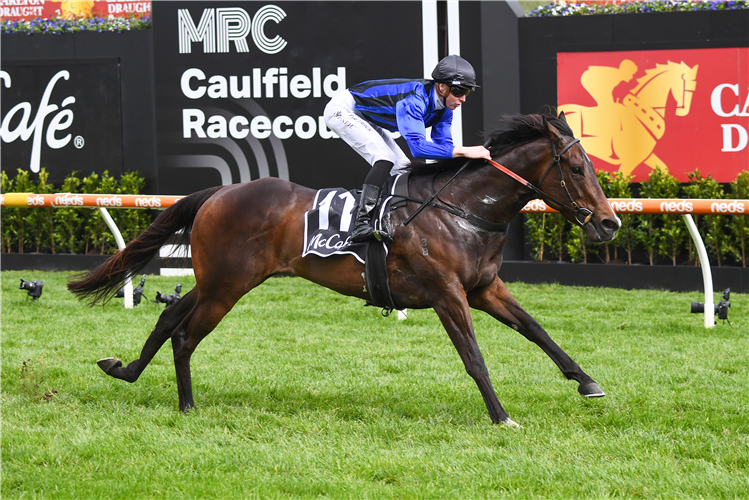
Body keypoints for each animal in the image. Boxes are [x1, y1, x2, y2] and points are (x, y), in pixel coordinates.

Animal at [68, 113, 620, 426]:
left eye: (592, 167)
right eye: (576, 169)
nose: (610, 223)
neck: (464, 210)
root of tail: (219, 192)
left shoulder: (485, 288)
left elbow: (537, 331)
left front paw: (588, 382)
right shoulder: (447, 294)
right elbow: (475, 359)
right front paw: (502, 417)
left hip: (217, 282)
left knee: (168, 317)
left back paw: (124, 369)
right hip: (226, 287)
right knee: (184, 335)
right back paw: (186, 407)